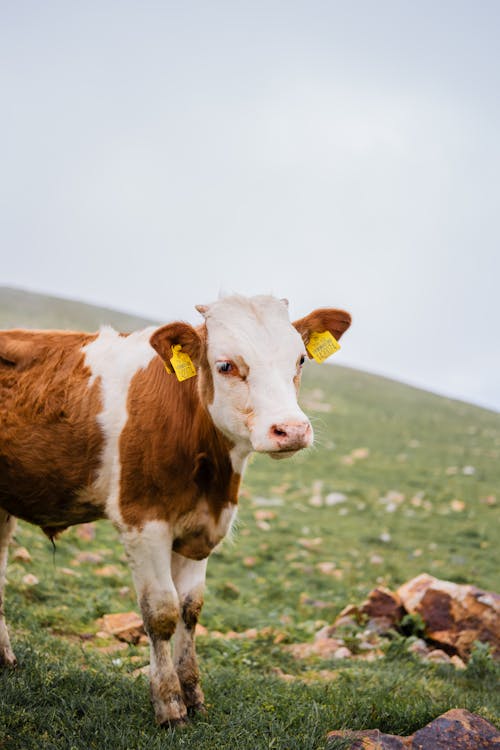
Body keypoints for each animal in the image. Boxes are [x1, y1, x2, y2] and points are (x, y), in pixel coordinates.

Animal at [0, 296, 352, 728]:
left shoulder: (201, 530)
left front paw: (193, 695)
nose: (292, 430)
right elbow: (162, 612)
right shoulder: (143, 522)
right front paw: (169, 704)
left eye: (300, 358)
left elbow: (190, 609)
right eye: (226, 365)